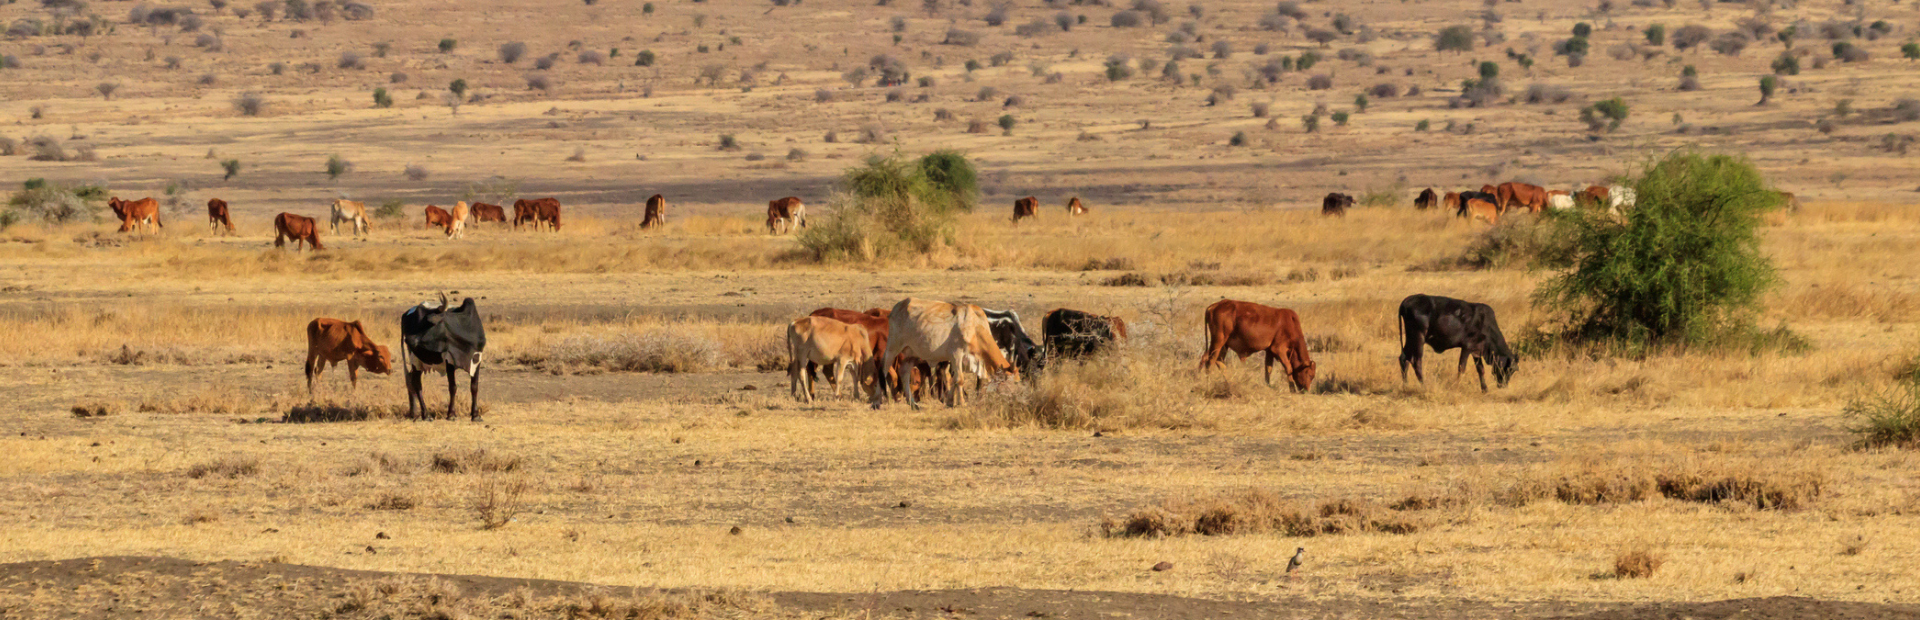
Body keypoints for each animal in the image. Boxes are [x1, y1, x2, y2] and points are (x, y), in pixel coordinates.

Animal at [873, 298, 1018, 410]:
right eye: (1015, 383)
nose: (1017, 400)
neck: (975, 327)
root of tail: (897, 307)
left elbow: (952, 380)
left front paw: (949, 402)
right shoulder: (956, 354)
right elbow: (959, 379)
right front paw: (962, 403)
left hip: (911, 353)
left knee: (904, 372)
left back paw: (913, 404)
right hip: (893, 346)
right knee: (883, 368)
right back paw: (877, 402)